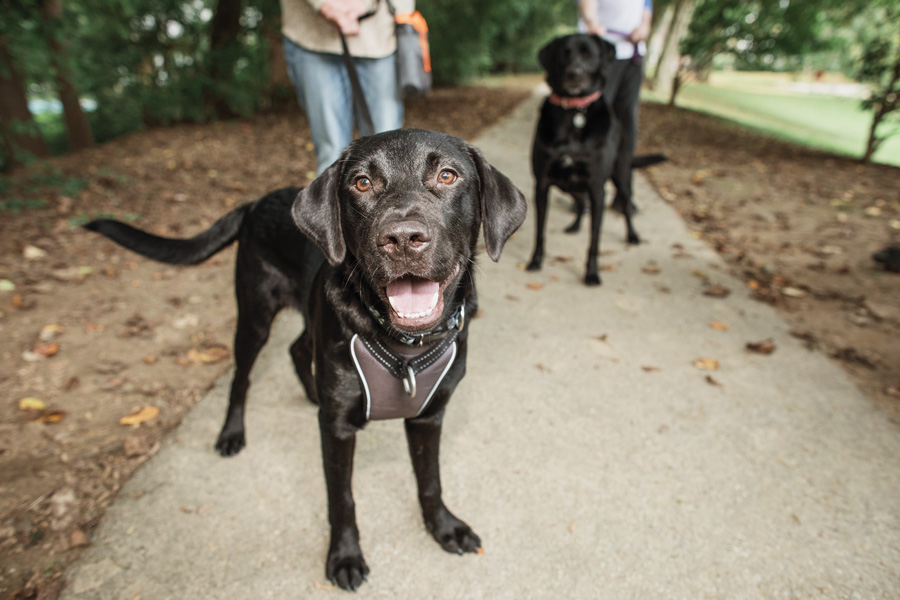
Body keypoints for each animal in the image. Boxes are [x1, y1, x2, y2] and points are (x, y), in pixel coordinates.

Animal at [84, 129, 528, 592]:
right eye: (361, 183)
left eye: (447, 175)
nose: (403, 238)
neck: (405, 346)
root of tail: (257, 201)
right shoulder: (336, 431)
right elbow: (342, 498)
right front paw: (345, 556)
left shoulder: (429, 416)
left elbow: (430, 480)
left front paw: (443, 527)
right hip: (255, 316)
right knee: (242, 376)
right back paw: (231, 433)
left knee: (297, 347)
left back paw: (313, 391)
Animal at [524, 33, 664, 286]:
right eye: (563, 54)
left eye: (588, 55)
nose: (575, 73)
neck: (574, 113)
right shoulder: (542, 184)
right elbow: (540, 230)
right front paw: (535, 261)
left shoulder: (597, 187)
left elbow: (595, 239)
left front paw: (591, 273)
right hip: (571, 187)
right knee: (581, 203)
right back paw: (575, 225)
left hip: (621, 176)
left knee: (626, 207)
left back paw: (632, 235)